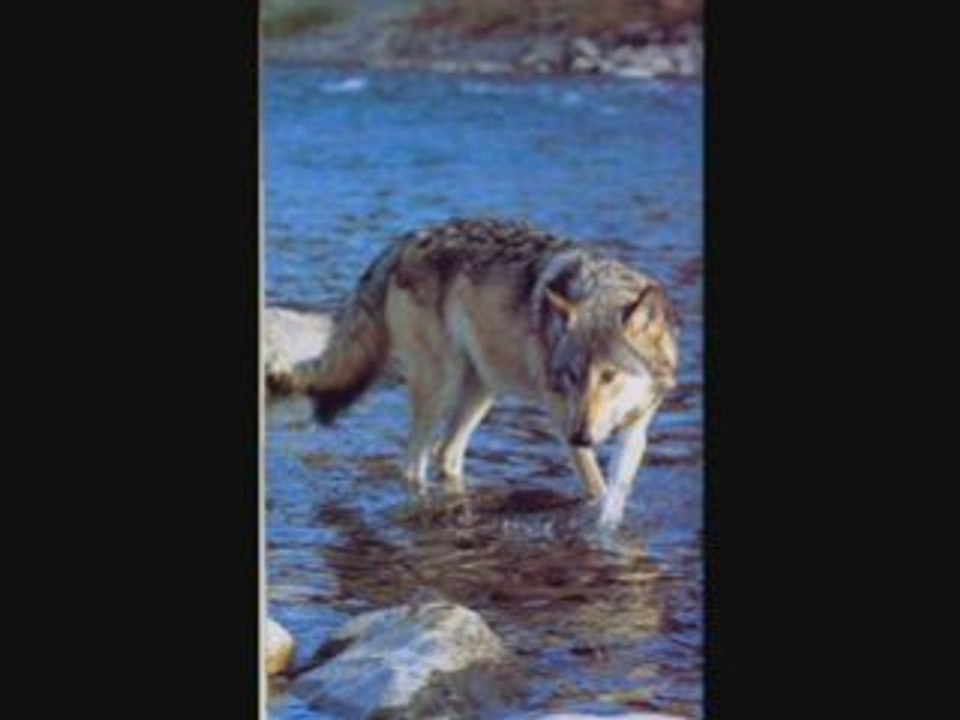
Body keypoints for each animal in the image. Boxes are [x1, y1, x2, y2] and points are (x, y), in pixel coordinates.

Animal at [294, 218, 679, 530]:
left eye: (609, 376)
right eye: (571, 376)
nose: (581, 437)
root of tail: (407, 239)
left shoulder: (635, 432)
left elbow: (616, 489)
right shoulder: (562, 417)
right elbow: (598, 487)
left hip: (483, 389)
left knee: (445, 452)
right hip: (442, 387)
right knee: (412, 463)